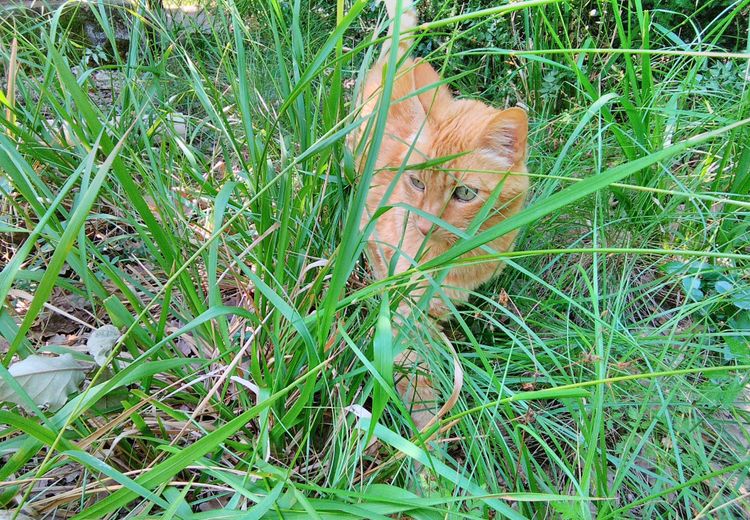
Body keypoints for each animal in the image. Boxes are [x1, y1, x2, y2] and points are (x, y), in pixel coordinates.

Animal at [352, 1, 528, 430]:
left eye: (464, 193)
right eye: (416, 182)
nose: (424, 224)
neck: (458, 259)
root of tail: (401, 61)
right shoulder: (401, 309)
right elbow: (418, 383)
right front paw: (426, 442)